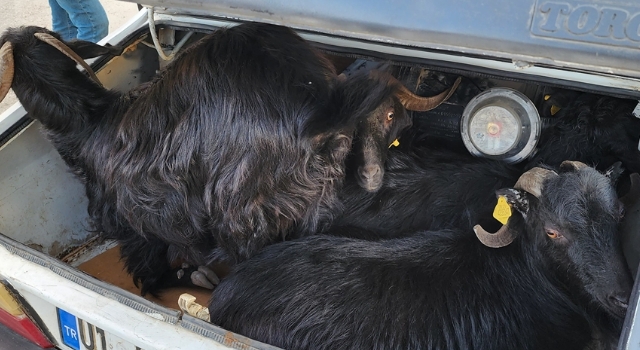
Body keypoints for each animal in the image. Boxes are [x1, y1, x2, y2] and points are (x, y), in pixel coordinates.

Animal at [0, 23, 456, 294]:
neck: (91, 120)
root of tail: (318, 109)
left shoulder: (133, 216)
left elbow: (147, 259)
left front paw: (177, 275)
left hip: (244, 202)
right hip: (311, 198)